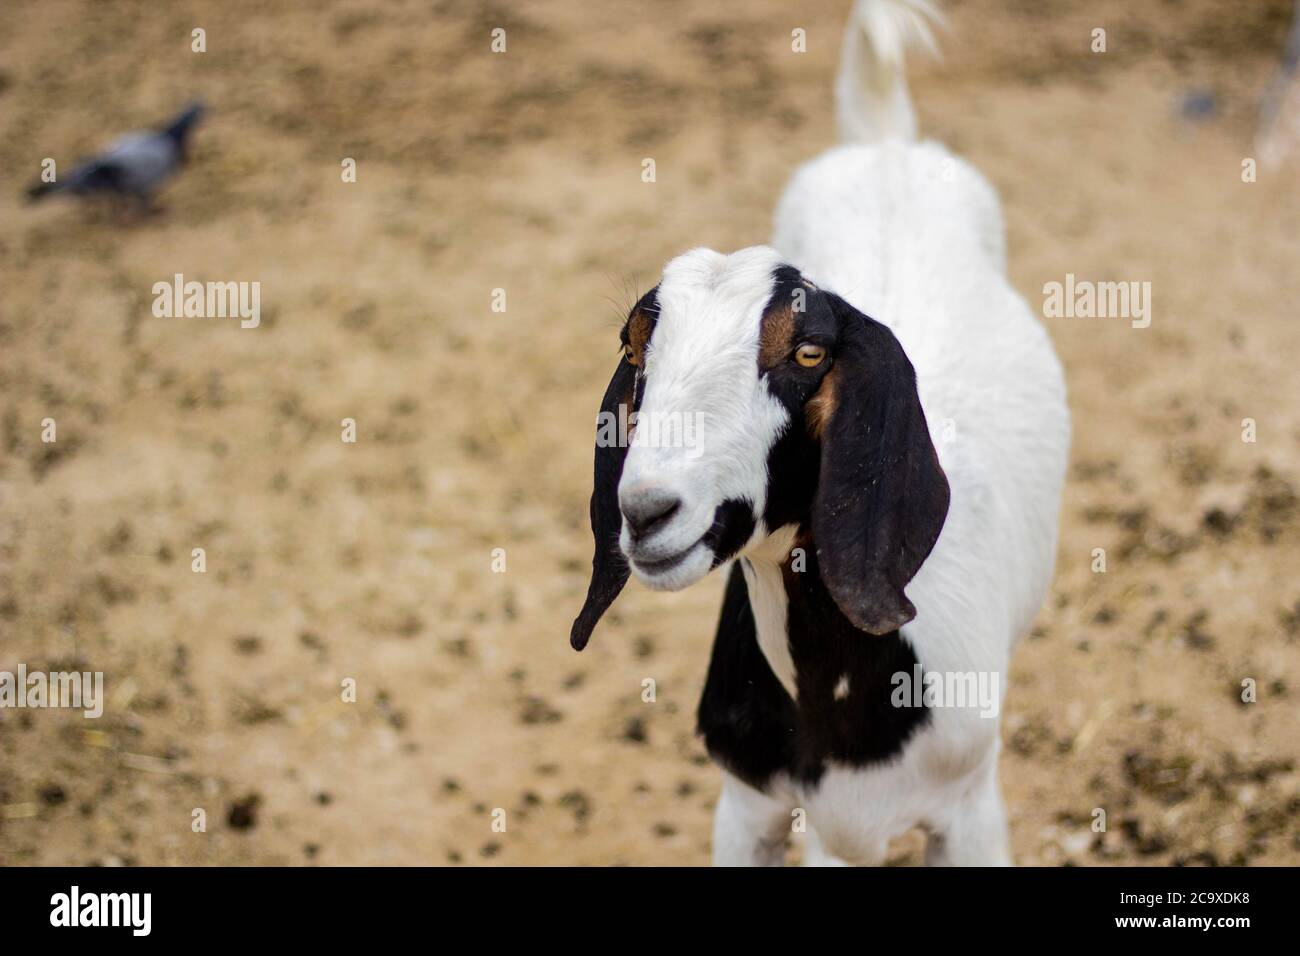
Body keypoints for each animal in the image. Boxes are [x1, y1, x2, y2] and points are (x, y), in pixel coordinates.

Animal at [570, 0, 1069, 866]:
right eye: (635, 348)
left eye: (806, 353)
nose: (647, 512)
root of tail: (886, 144)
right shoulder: (747, 806)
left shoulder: (971, 808)